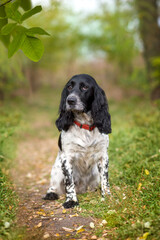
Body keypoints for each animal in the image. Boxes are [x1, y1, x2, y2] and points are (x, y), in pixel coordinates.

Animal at [43, 74, 112, 209]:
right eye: (69, 87)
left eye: (85, 87)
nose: (70, 100)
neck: (84, 125)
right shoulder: (66, 157)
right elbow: (69, 182)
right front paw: (71, 201)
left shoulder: (103, 156)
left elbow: (105, 179)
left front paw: (107, 196)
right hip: (56, 169)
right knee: (53, 186)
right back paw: (51, 193)